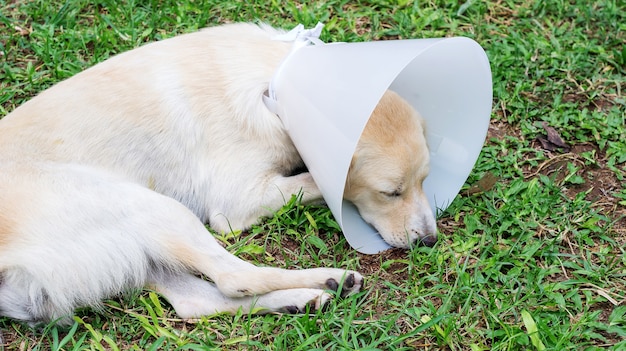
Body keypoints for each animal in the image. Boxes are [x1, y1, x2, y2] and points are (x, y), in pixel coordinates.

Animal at [0, 22, 434, 328]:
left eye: (425, 181)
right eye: (390, 192)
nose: (429, 241)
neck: (273, 82)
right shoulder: (238, 202)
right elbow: (314, 181)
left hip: (141, 245)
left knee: (198, 301)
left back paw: (304, 297)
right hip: (153, 208)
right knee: (235, 276)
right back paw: (326, 278)